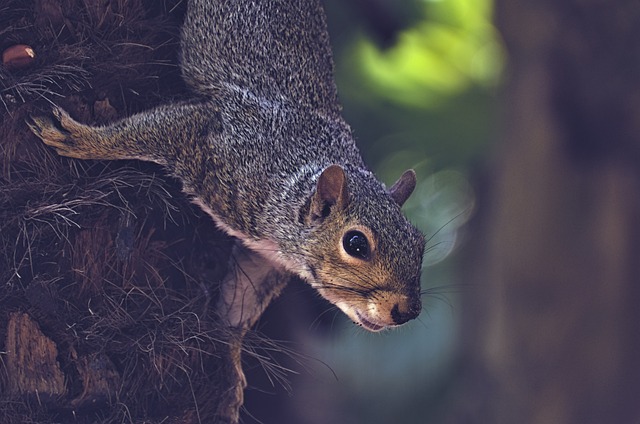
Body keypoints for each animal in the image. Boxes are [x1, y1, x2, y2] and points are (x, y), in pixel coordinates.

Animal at [30, 0, 428, 420]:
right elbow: (150, 131)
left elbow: (237, 306)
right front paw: (85, 139)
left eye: (419, 243)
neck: (290, 190)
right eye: (355, 244)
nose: (407, 310)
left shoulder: (264, 259)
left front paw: (228, 371)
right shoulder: (215, 138)